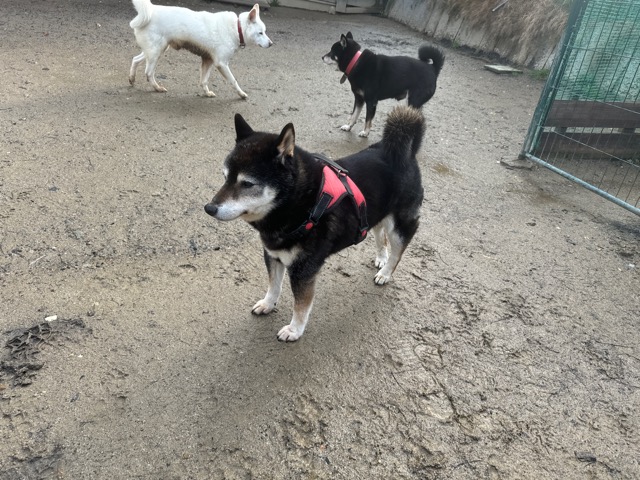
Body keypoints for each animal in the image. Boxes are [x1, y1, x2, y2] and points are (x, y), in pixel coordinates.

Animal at [128, 0, 272, 98]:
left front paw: (207, 93)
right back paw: (157, 88)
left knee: (135, 59)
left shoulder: (208, 60)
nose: (271, 44)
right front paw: (241, 94)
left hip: (157, 50)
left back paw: (132, 78)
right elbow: (233, 80)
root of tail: (151, 10)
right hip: (156, 52)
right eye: (260, 33)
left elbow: (204, 81)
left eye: (265, 32)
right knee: (148, 73)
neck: (237, 28)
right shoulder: (221, 63)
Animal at [204, 106, 425, 342]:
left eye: (247, 184)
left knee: (397, 251)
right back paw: (381, 258)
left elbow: (301, 306)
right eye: (225, 177)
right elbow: (274, 286)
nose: (209, 208)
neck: (303, 201)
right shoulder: (273, 255)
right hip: (376, 212)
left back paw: (386, 272)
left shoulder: (303, 270)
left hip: (400, 225)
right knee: (379, 234)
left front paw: (294, 330)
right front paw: (268, 304)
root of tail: (405, 153)